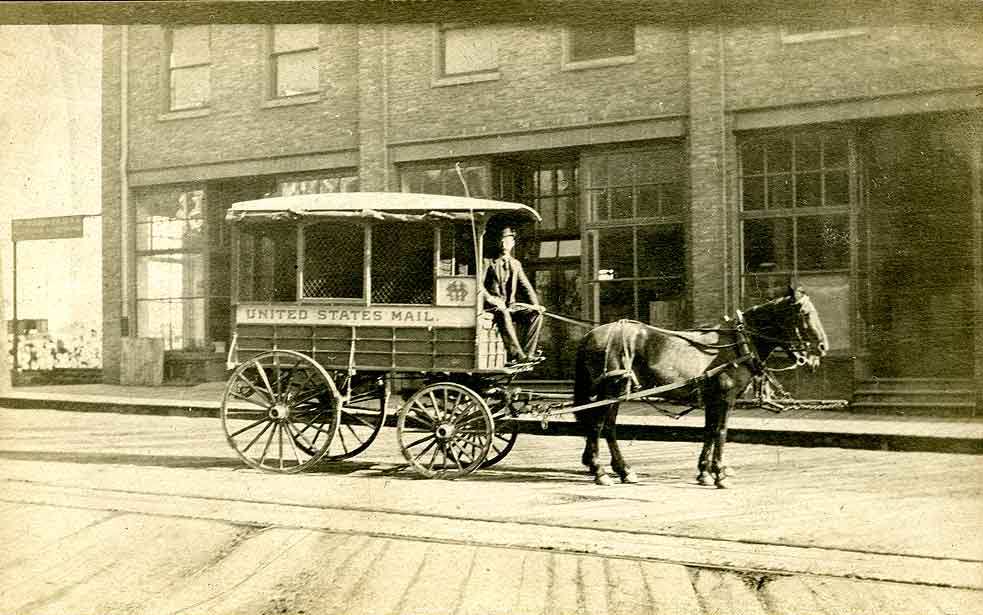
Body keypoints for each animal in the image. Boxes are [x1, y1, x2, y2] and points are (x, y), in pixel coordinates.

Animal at [568, 286, 832, 488]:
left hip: (618, 391)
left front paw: (705, 472)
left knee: (609, 428)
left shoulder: (712, 400)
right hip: (610, 390)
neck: (737, 345)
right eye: (805, 313)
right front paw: (720, 474)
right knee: (598, 426)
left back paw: (623, 470)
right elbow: (721, 432)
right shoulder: (725, 399)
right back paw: (600, 471)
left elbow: (709, 432)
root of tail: (591, 334)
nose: (822, 347)